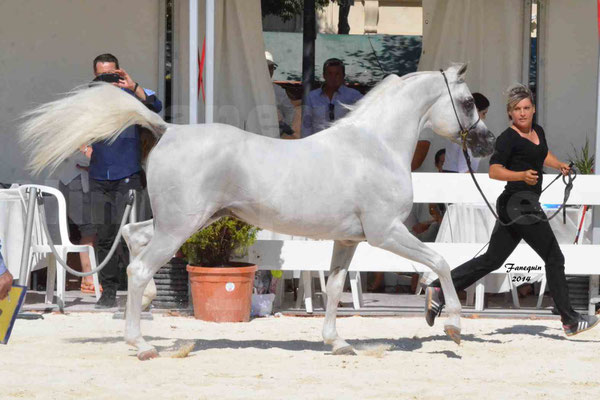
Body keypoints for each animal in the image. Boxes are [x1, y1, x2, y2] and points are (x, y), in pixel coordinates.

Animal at [21, 65, 494, 360]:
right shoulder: (386, 233)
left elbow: (335, 289)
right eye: (468, 103)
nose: (487, 143)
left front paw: (337, 344)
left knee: (135, 237)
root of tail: (168, 130)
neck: (373, 147)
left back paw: (147, 313)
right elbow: (442, 262)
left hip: (187, 221)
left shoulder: (349, 240)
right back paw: (143, 345)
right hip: (181, 226)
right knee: (138, 269)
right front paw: (452, 324)